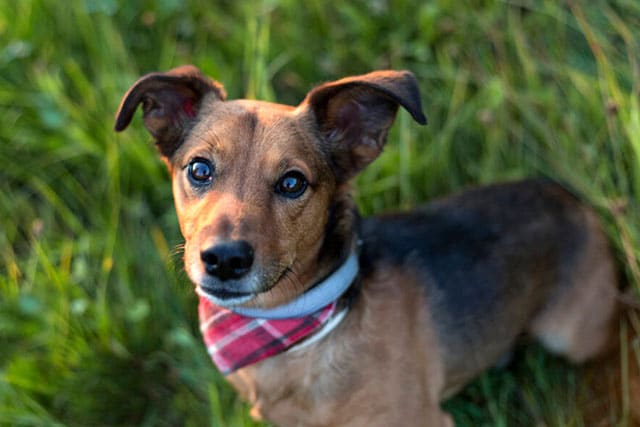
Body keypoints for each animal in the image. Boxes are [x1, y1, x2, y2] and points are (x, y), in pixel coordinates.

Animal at [115, 65, 620, 426]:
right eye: (199, 169)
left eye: (293, 182)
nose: (223, 259)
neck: (296, 330)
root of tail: (570, 197)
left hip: (571, 335)